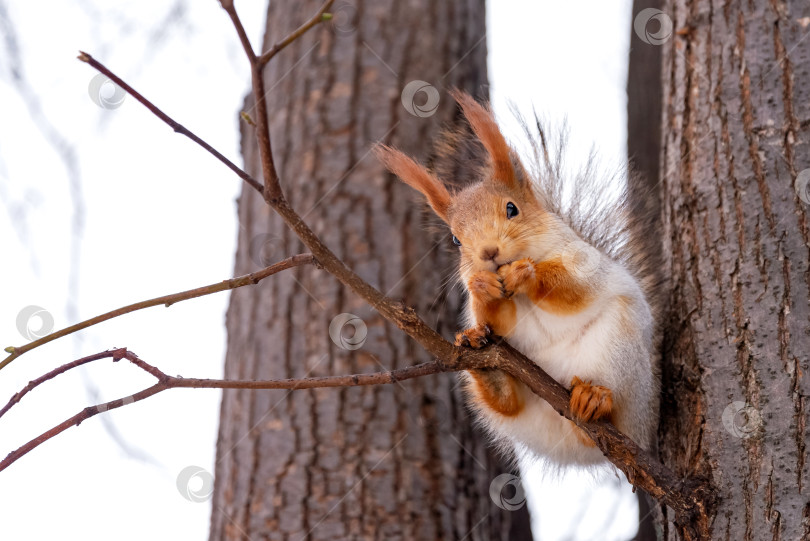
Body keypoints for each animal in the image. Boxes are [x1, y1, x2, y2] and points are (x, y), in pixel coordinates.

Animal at [376, 90, 660, 466]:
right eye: (455, 239)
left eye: (512, 209)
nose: (488, 252)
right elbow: (498, 320)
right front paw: (482, 288)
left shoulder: (587, 264)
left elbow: (574, 290)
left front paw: (526, 274)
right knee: (507, 405)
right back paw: (486, 368)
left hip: (621, 355)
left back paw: (594, 399)